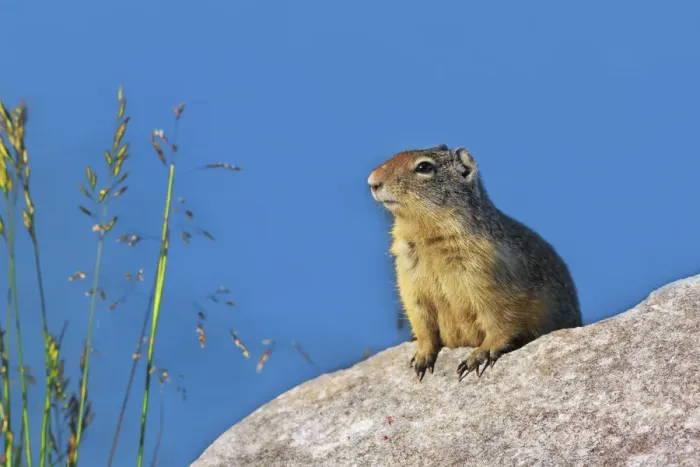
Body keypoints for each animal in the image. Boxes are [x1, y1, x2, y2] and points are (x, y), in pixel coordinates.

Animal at [367, 144, 581, 381]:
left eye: (424, 167)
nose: (372, 181)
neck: (429, 239)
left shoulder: (489, 279)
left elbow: (499, 320)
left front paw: (479, 355)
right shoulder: (410, 282)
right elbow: (422, 322)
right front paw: (421, 357)